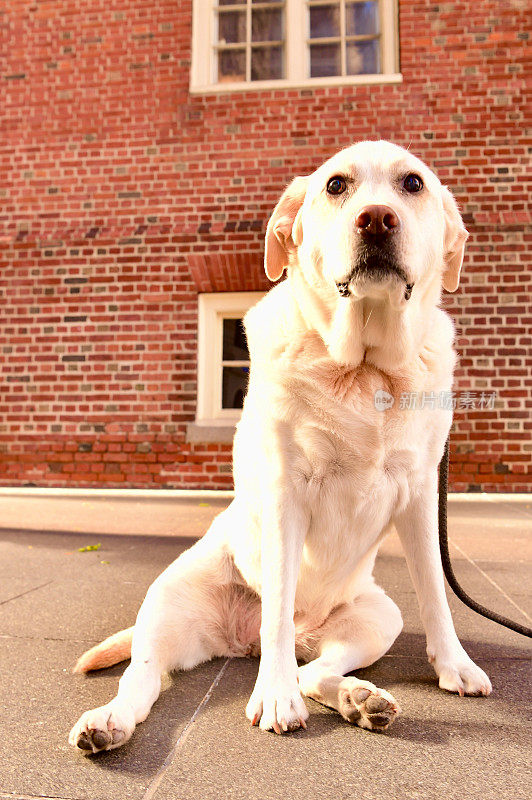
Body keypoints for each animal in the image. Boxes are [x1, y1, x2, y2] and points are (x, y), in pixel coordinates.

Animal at [68, 141, 492, 752]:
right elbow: (277, 611)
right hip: (167, 602)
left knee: (313, 670)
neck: (364, 370)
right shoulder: (286, 491)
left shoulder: (419, 496)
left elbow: (435, 589)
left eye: (412, 184)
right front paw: (273, 697)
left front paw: (454, 665)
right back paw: (109, 722)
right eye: (336, 185)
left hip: (376, 618)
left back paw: (360, 700)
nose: (377, 219)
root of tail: (238, 643)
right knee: (147, 677)